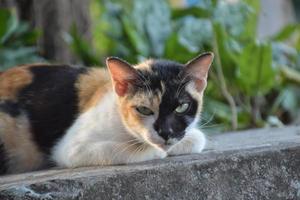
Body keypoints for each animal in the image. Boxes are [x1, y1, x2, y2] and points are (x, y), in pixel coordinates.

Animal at [0, 52, 213, 175]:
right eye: (144, 109)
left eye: (182, 107)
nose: (166, 132)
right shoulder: (71, 148)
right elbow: (127, 150)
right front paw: (156, 151)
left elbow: (197, 138)